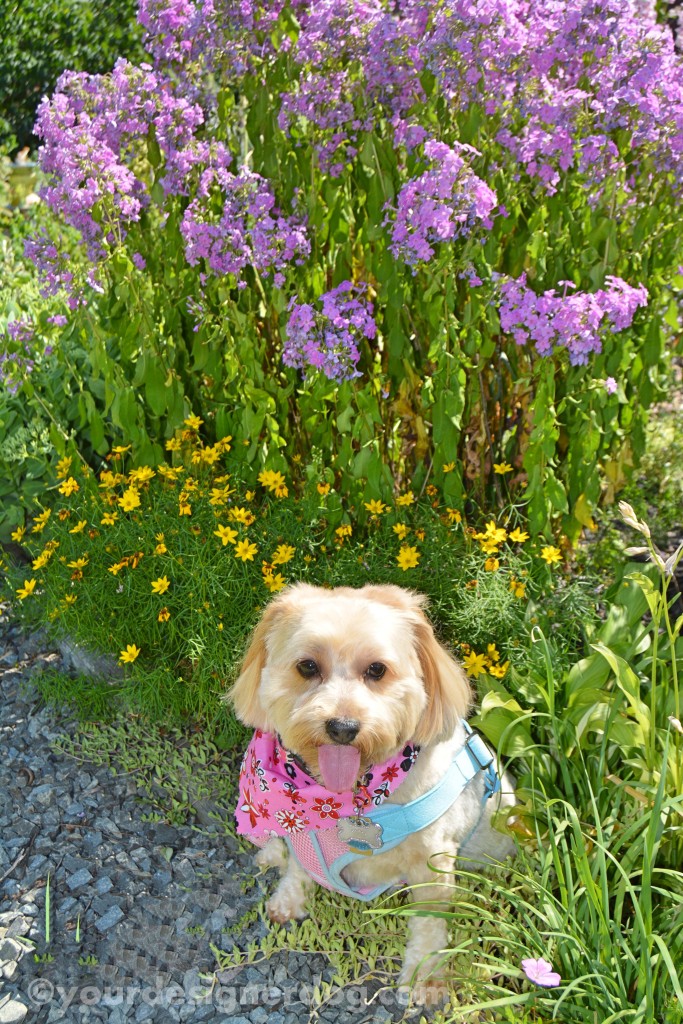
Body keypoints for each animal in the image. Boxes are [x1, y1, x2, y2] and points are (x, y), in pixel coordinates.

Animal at [228, 581, 511, 1003]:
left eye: (377, 669)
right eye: (307, 666)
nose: (343, 727)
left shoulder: (433, 863)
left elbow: (429, 926)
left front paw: (424, 978)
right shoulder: (303, 835)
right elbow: (298, 868)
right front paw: (288, 900)